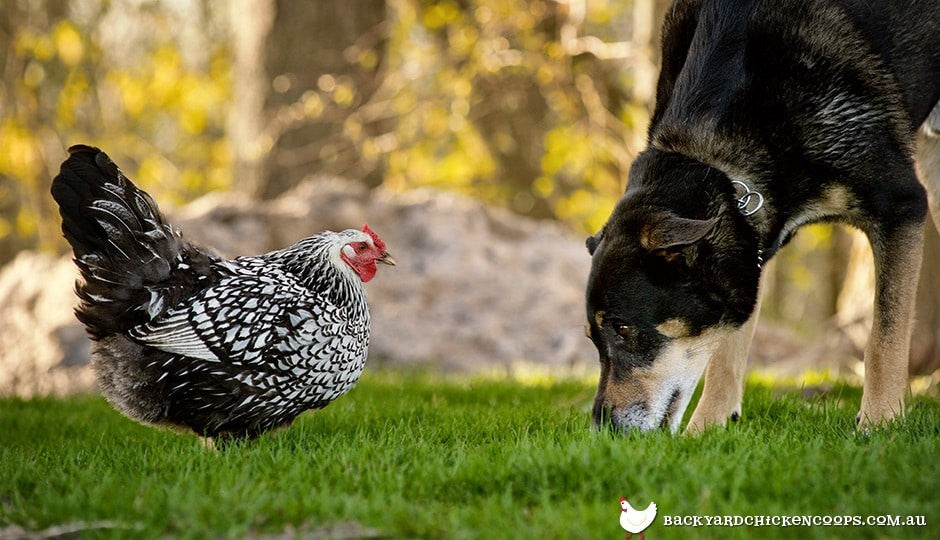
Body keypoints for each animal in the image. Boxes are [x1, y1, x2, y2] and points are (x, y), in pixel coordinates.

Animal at [588, 0, 940, 432]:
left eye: (623, 329)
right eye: (593, 338)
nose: (601, 429)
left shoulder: (901, 203)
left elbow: (884, 335)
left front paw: (881, 422)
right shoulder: (748, 247)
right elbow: (727, 350)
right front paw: (707, 428)